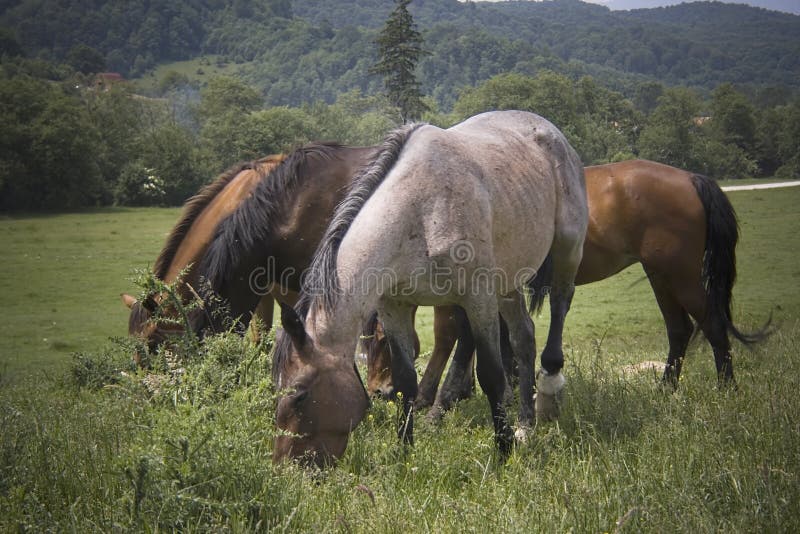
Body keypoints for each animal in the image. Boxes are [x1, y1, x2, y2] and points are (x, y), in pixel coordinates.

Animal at [268, 111, 588, 466]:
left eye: (299, 395)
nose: (286, 467)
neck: (420, 212)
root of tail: (548, 129)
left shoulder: (478, 299)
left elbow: (491, 375)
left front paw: (503, 451)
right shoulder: (394, 307)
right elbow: (406, 381)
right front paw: (405, 451)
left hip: (567, 247)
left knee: (560, 304)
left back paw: (549, 387)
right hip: (509, 280)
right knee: (524, 337)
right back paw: (525, 425)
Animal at [368, 159, 768, 414]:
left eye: (381, 342)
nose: (377, 391)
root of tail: (690, 178)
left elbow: (457, 337)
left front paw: (438, 399)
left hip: (679, 275)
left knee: (713, 326)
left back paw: (726, 391)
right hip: (661, 276)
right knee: (680, 330)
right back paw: (665, 389)